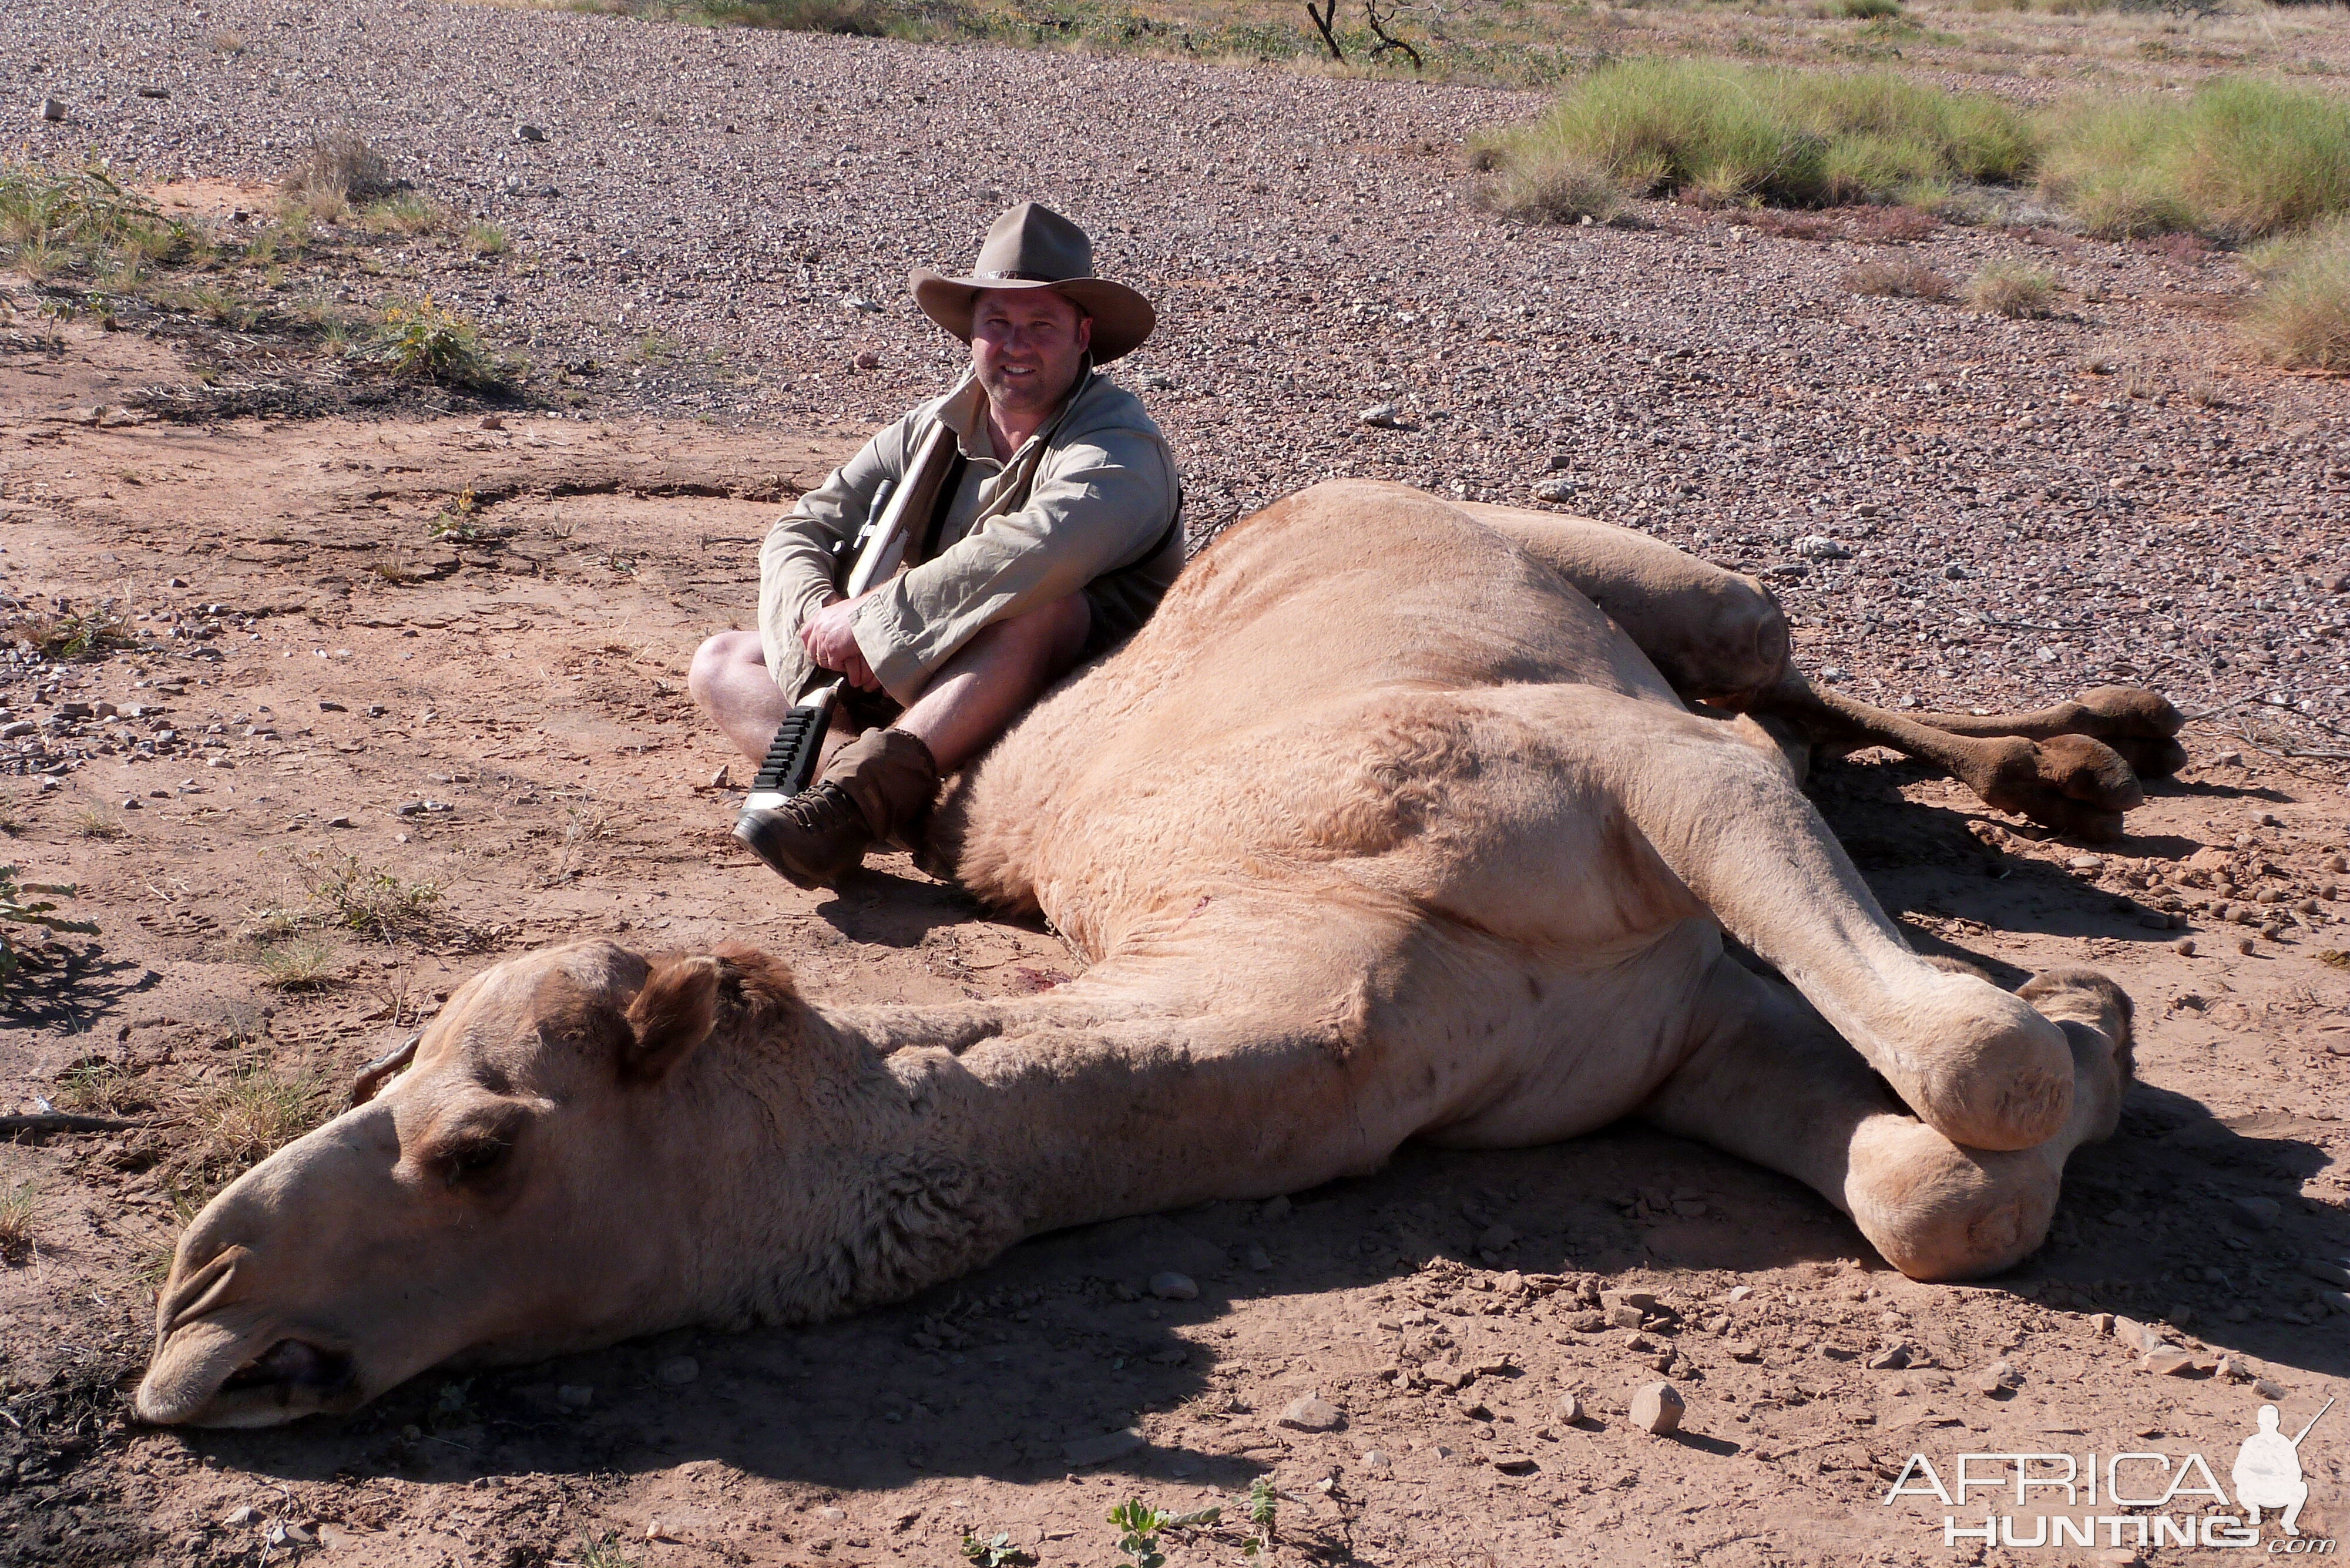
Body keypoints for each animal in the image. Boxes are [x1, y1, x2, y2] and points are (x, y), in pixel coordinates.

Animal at [137, 484, 2153, 1429]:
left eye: (477, 1142)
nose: (197, 1306)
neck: (1328, 969)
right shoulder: (1674, 1036)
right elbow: (1942, 1186)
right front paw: (2091, 1025)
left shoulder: (1602, 773)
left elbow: (1972, 1064)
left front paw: (2079, 1010)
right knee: (1793, 721)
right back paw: (2067, 777)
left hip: (1650, 585)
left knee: (1769, 672)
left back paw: (2092, 756)